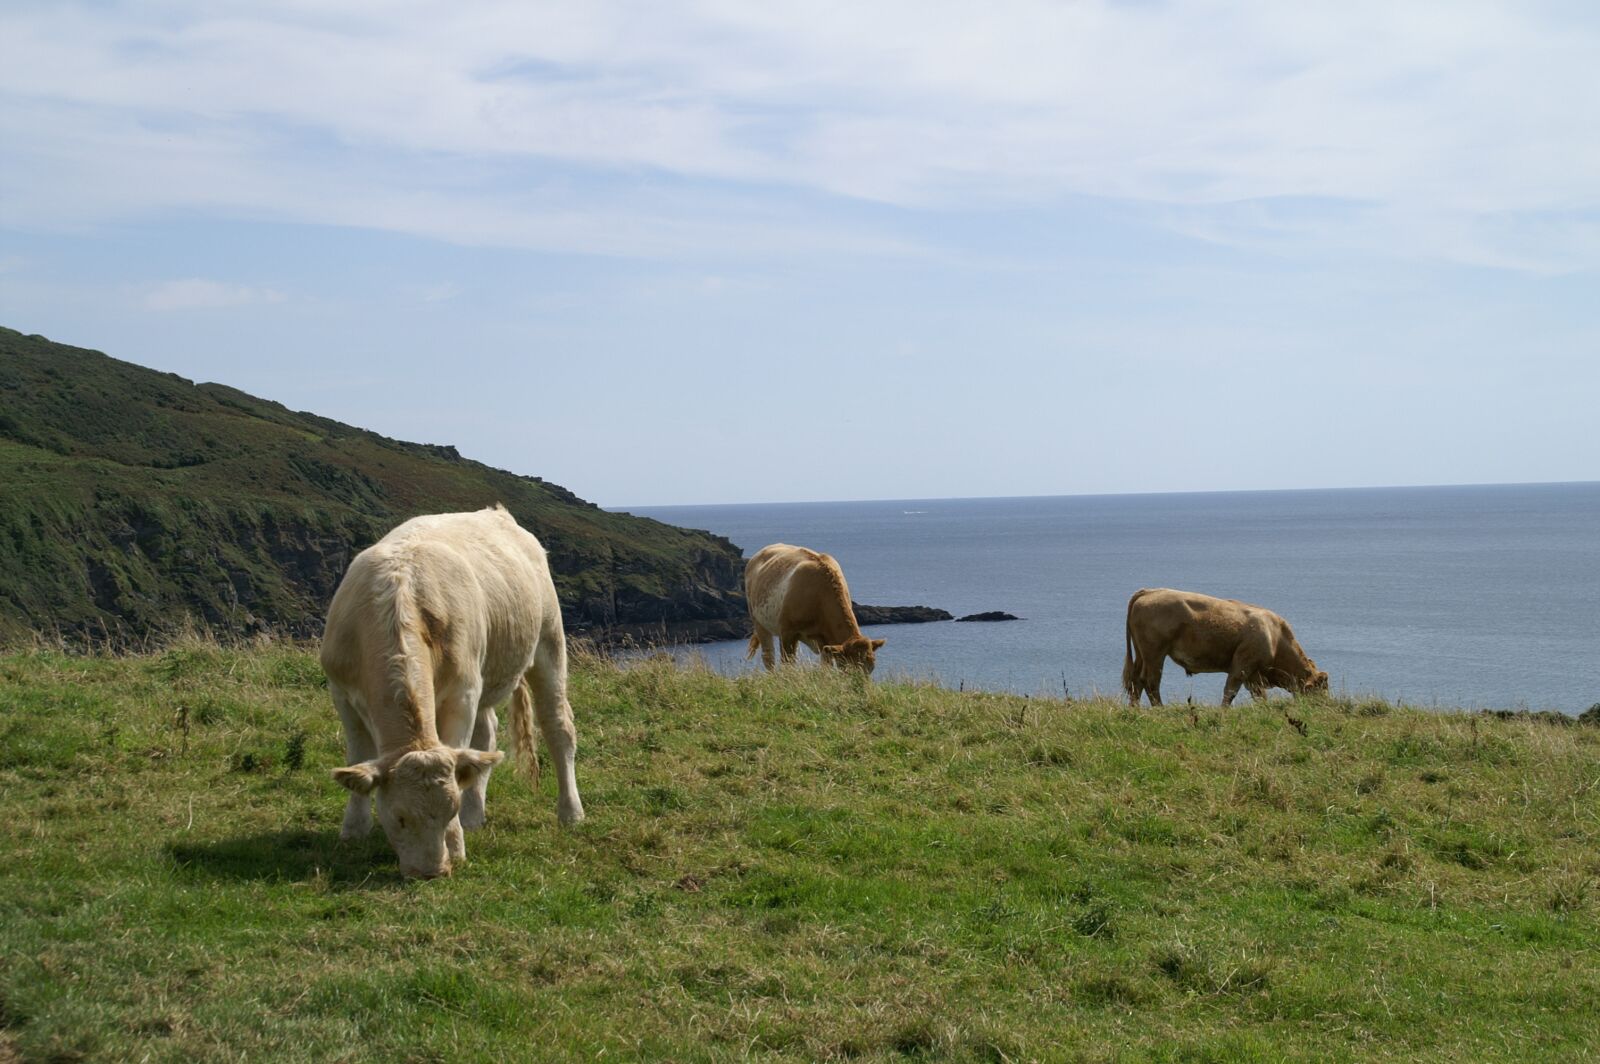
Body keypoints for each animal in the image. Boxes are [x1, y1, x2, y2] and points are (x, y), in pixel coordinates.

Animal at [315, 505, 585, 876]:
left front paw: (456, 844)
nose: (431, 872)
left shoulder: (463, 693)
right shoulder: (341, 693)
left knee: (558, 727)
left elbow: (458, 754)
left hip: (548, 642)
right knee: (486, 738)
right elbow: (358, 757)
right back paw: (476, 814)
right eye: (399, 818)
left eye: (448, 811)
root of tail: (497, 512)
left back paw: (570, 812)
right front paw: (353, 829)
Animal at [739, 547, 883, 672]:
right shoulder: (787, 633)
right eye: (851, 668)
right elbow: (787, 665)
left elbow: (825, 668)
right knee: (769, 657)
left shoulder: (825, 643)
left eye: (871, 668)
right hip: (759, 623)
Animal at [1120, 588, 1331, 704]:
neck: (1275, 636)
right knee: (1151, 682)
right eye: (1321, 688)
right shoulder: (1241, 667)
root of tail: (1148, 591)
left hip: (1142, 655)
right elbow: (1230, 692)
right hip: (1155, 654)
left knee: (1136, 681)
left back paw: (1135, 710)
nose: (1327, 706)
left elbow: (1260, 697)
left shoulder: (1253, 676)